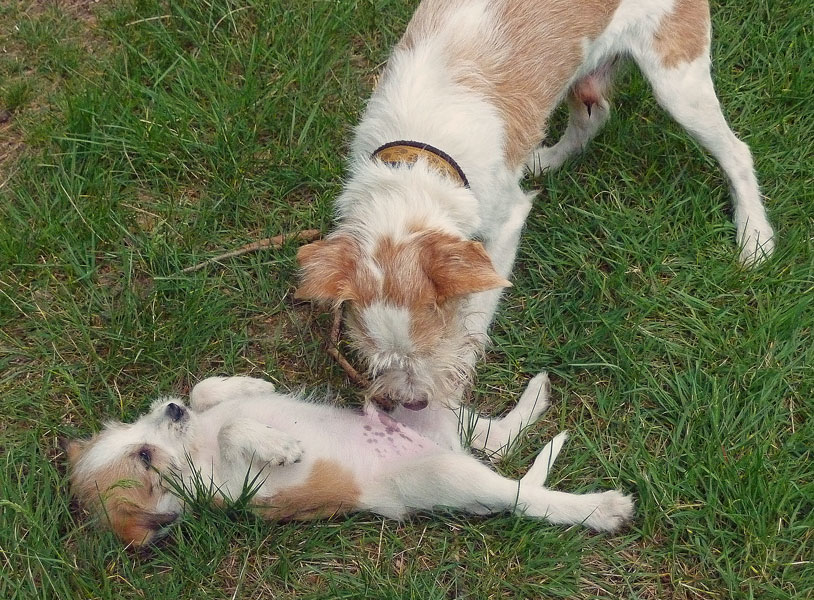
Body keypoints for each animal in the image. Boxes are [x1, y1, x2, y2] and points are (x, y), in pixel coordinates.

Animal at [65, 375, 634, 547]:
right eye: (144, 457)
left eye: (133, 430)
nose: (170, 408)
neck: (192, 448)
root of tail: (443, 448)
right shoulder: (236, 489)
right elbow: (231, 429)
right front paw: (280, 446)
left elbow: (211, 394)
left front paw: (249, 385)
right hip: (446, 473)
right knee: (521, 494)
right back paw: (602, 509)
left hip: (429, 409)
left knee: (497, 440)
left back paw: (537, 395)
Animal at [294, 0, 775, 451]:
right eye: (372, 355)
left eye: (433, 342)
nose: (411, 403)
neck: (417, 166)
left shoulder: (503, 230)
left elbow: (477, 314)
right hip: (588, 77)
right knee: (594, 115)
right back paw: (543, 161)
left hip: (678, 78)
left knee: (737, 151)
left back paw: (755, 239)